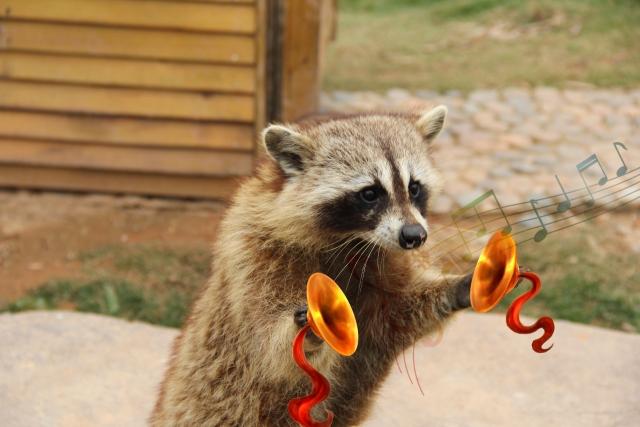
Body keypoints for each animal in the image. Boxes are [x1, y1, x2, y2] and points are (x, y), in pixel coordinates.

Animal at [150, 106, 470, 427]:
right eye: (369, 193)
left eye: (414, 188)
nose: (415, 236)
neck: (352, 240)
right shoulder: (257, 255)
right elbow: (270, 346)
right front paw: (306, 331)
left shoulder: (385, 266)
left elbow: (398, 312)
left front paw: (456, 287)